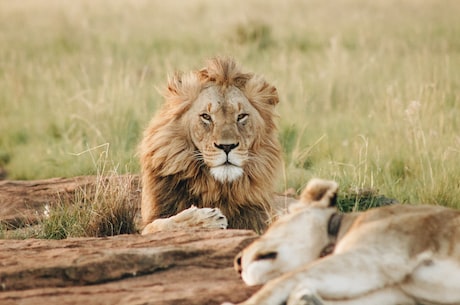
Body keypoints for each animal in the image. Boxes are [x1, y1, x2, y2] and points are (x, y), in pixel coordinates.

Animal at [139, 57, 284, 233]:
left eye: (241, 116)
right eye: (206, 117)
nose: (227, 146)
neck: (217, 188)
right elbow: (160, 224)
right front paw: (207, 218)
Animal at [229, 178, 460, 304]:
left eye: (272, 226)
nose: (237, 262)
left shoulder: (377, 255)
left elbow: (281, 281)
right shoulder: (397, 294)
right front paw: (306, 299)